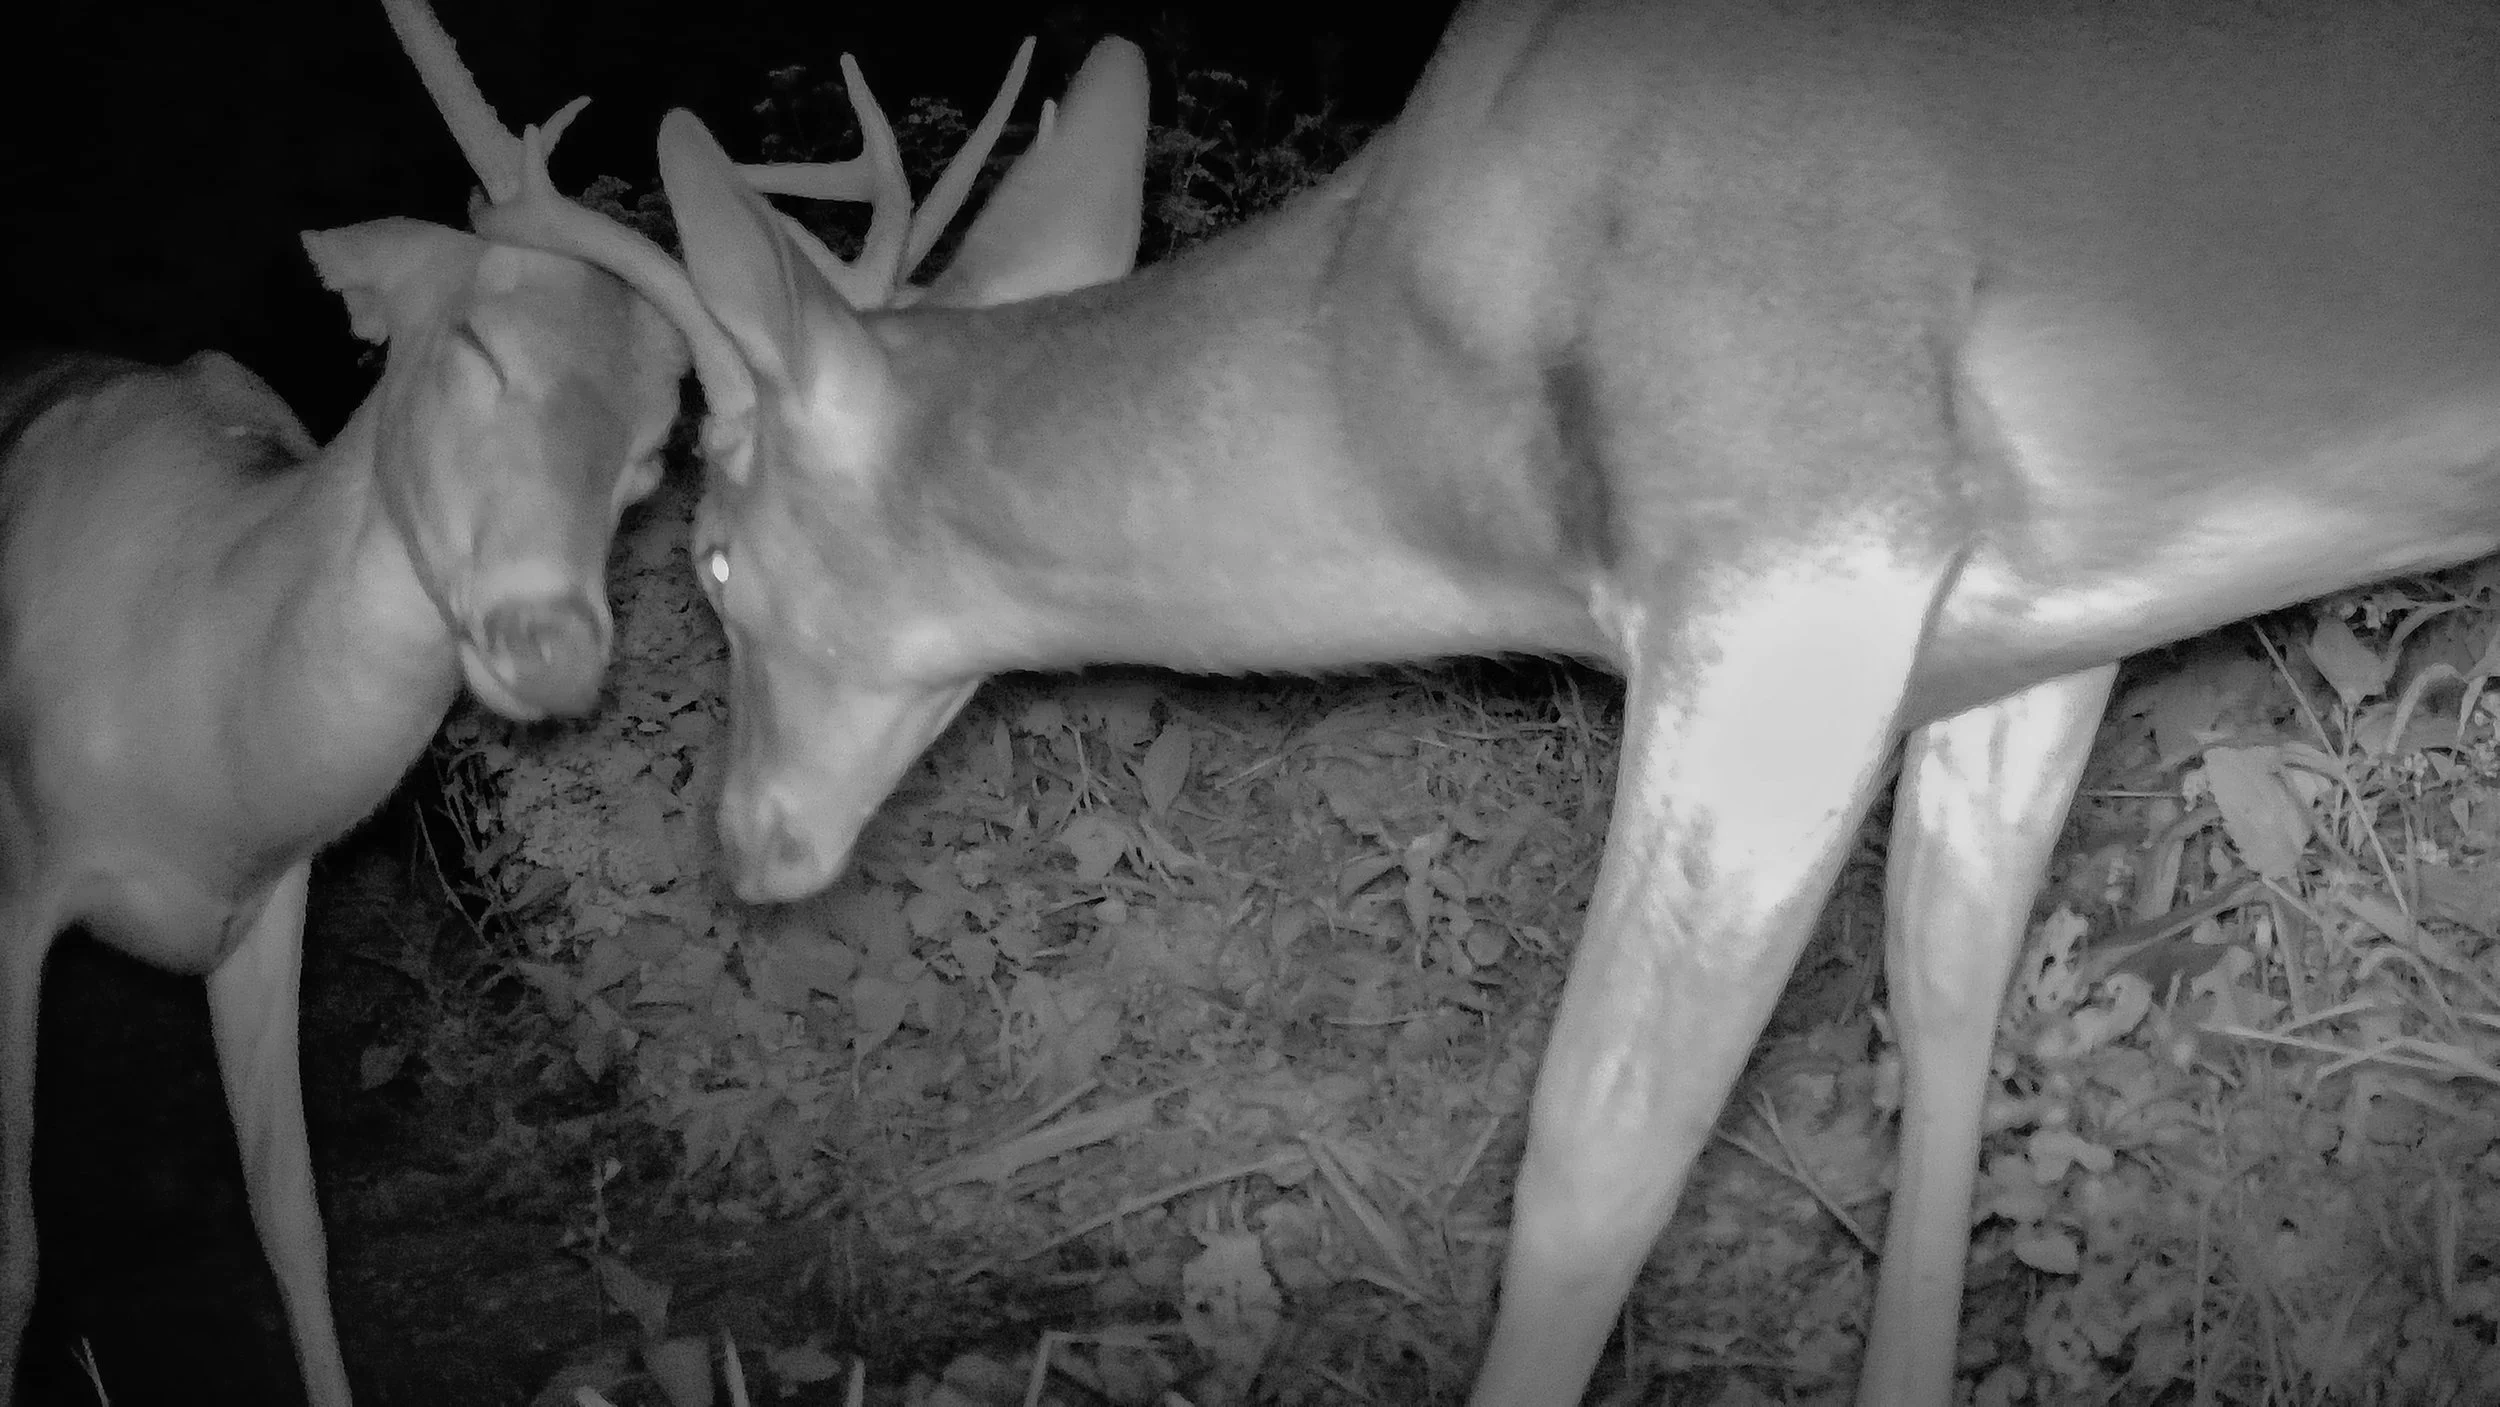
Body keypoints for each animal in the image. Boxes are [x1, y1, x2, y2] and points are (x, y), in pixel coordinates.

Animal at [473, 0, 2500, 1400]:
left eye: (707, 564)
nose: (748, 843)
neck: (1406, 368)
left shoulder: (1798, 527)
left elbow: (1595, 1147)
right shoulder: (2039, 611)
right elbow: (1945, 996)